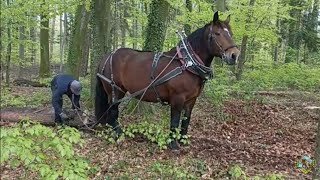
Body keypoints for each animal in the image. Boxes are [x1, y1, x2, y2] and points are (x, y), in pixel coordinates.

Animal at [94, 10, 239, 149]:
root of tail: (107, 56)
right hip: (116, 91)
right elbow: (174, 121)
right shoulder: (177, 98)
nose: (234, 55)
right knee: (113, 112)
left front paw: (183, 141)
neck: (187, 64)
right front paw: (173, 144)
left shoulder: (191, 100)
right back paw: (119, 135)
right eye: (217, 33)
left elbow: (186, 121)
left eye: (231, 33)